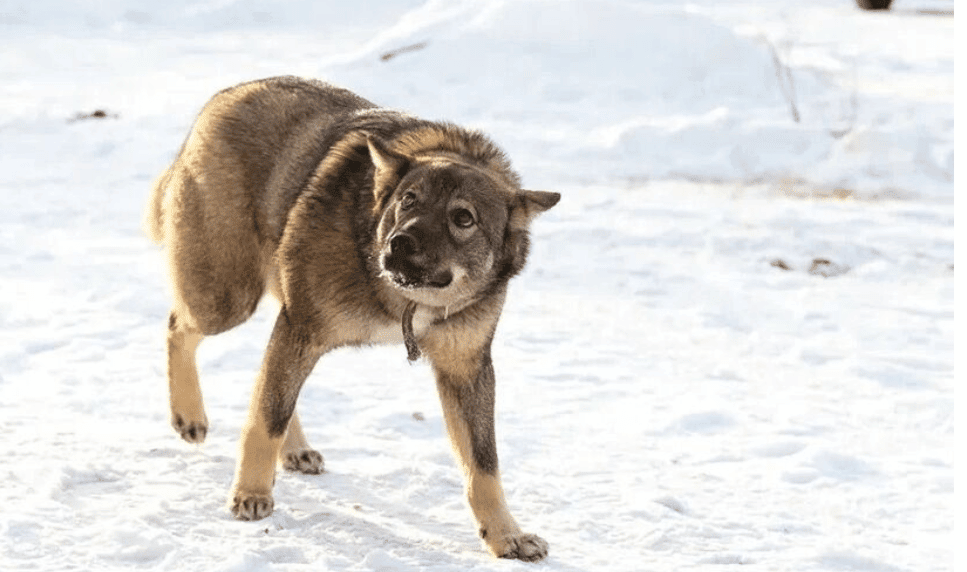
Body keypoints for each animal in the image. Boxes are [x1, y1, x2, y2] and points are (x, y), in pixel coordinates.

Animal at [144, 73, 560, 560]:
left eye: (463, 218)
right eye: (408, 200)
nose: (399, 243)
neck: (407, 302)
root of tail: (227, 94)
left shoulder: (466, 369)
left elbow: (483, 463)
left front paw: (505, 534)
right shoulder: (301, 328)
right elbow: (266, 418)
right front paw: (250, 493)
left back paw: (293, 449)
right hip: (226, 297)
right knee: (179, 327)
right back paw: (189, 416)